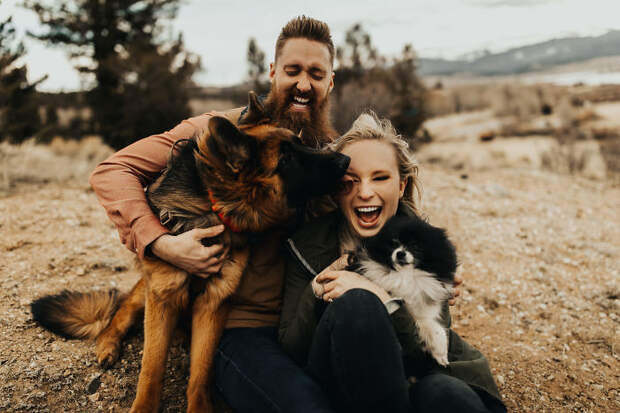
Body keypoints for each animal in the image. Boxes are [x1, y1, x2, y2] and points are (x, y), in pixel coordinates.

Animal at [31, 92, 352, 412]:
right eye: (287, 158)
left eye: (300, 142)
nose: (345, 159)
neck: (215, 205)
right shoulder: (163, 296)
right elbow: (151, 367)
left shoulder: (214, 301)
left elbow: (201, 372)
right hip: (145, 292)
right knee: (121, 312)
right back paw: (108, 344)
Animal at [348, 214, 456, 366]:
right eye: (394, 243)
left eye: (415, 246)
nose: (400, 253)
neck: (405, 275)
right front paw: (440, 350)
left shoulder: (422, 311)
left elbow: (432, 325)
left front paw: (440, 352)